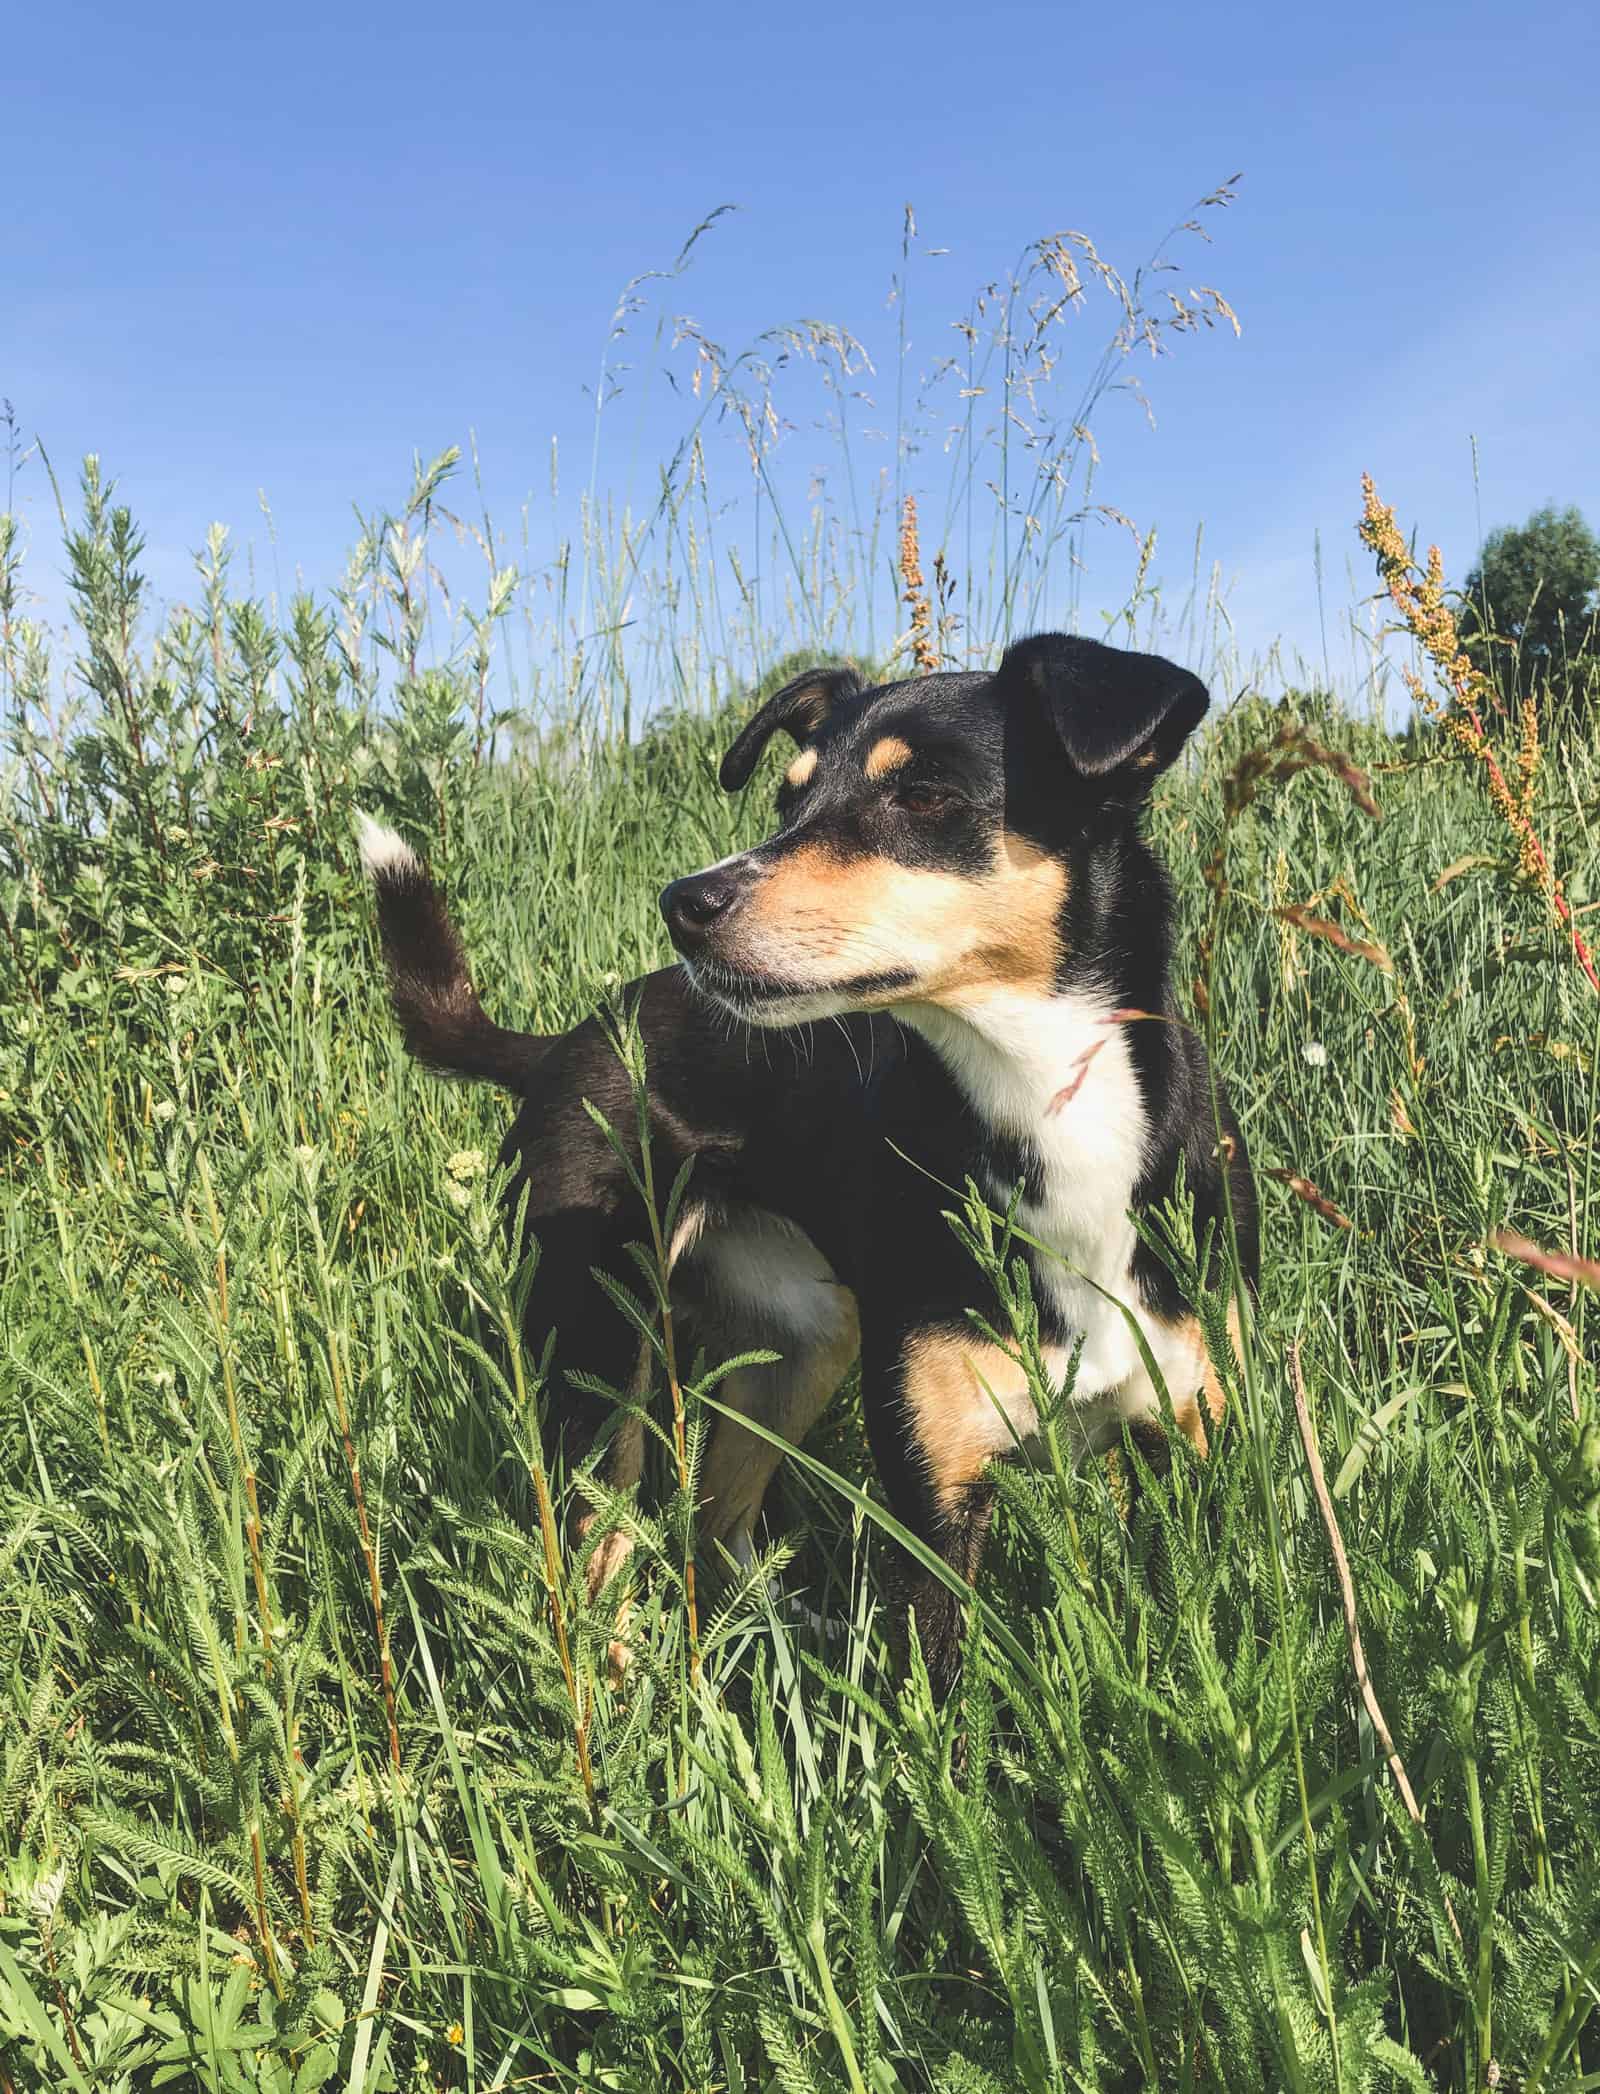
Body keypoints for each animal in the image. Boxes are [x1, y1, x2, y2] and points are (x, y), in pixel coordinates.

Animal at [366, 628, 1264, 1691]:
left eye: (925, 796)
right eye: (787, 801)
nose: (685, 902)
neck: (1044, 1102)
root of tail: (562, 1043)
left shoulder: (1192, 1432)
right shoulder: (934, 1503)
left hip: (802, 1344)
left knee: (716, 1526)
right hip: (599, 1367)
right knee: (602, 1569)